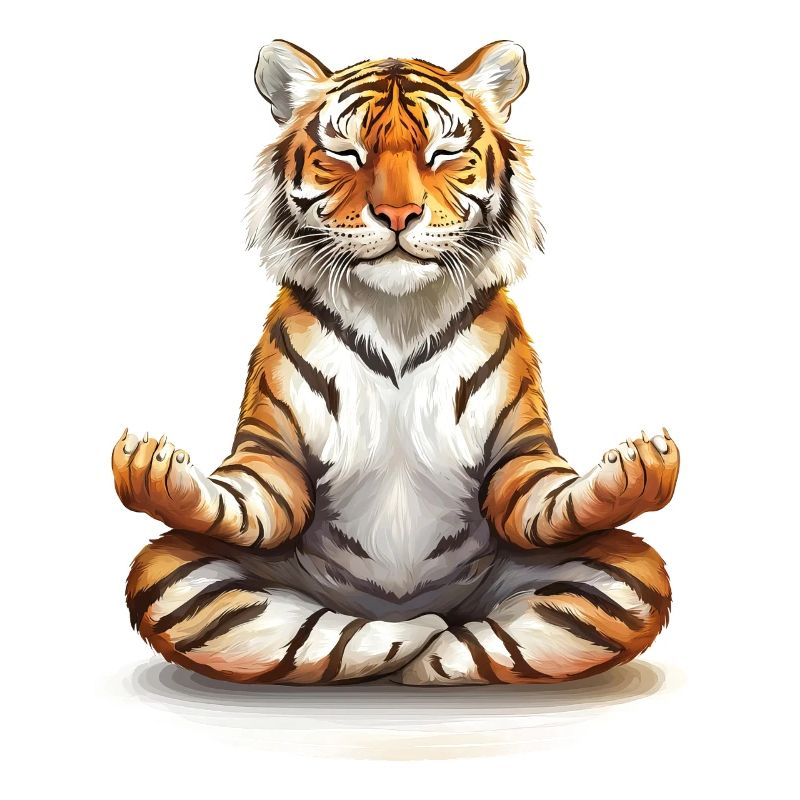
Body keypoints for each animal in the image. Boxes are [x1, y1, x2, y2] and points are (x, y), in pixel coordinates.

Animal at [114, 40, 678, 685]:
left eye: (444, 152)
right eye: (345, 153)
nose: (398, 214)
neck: (397, 312)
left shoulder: (519, 449)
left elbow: (543, 496)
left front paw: (632, 468)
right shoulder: (271, 450)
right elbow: (248, 498)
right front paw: (156, 468)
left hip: (622, 568)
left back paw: (434, 650)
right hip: (177, 569)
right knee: (318, 636)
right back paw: (412, 636)